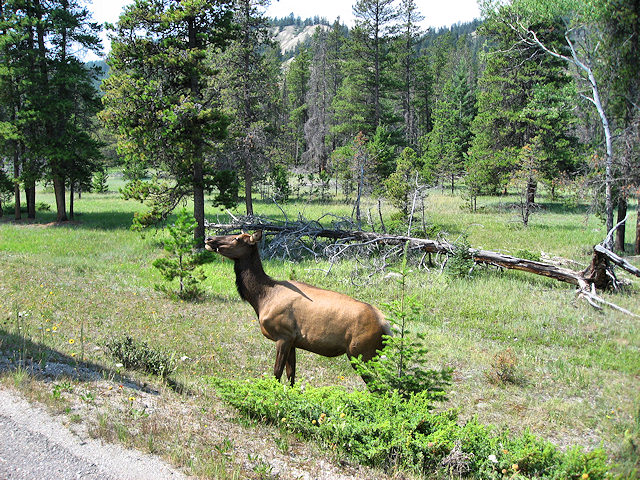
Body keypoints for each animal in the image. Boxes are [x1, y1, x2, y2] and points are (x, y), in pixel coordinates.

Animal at [205, 230, 391, 386]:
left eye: (237, 238)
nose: (209, 239)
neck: (261, 297)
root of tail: (385, 324)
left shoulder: (283, 335)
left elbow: (277, 373)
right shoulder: (293, 341)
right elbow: (291, 375)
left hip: (361, 353)